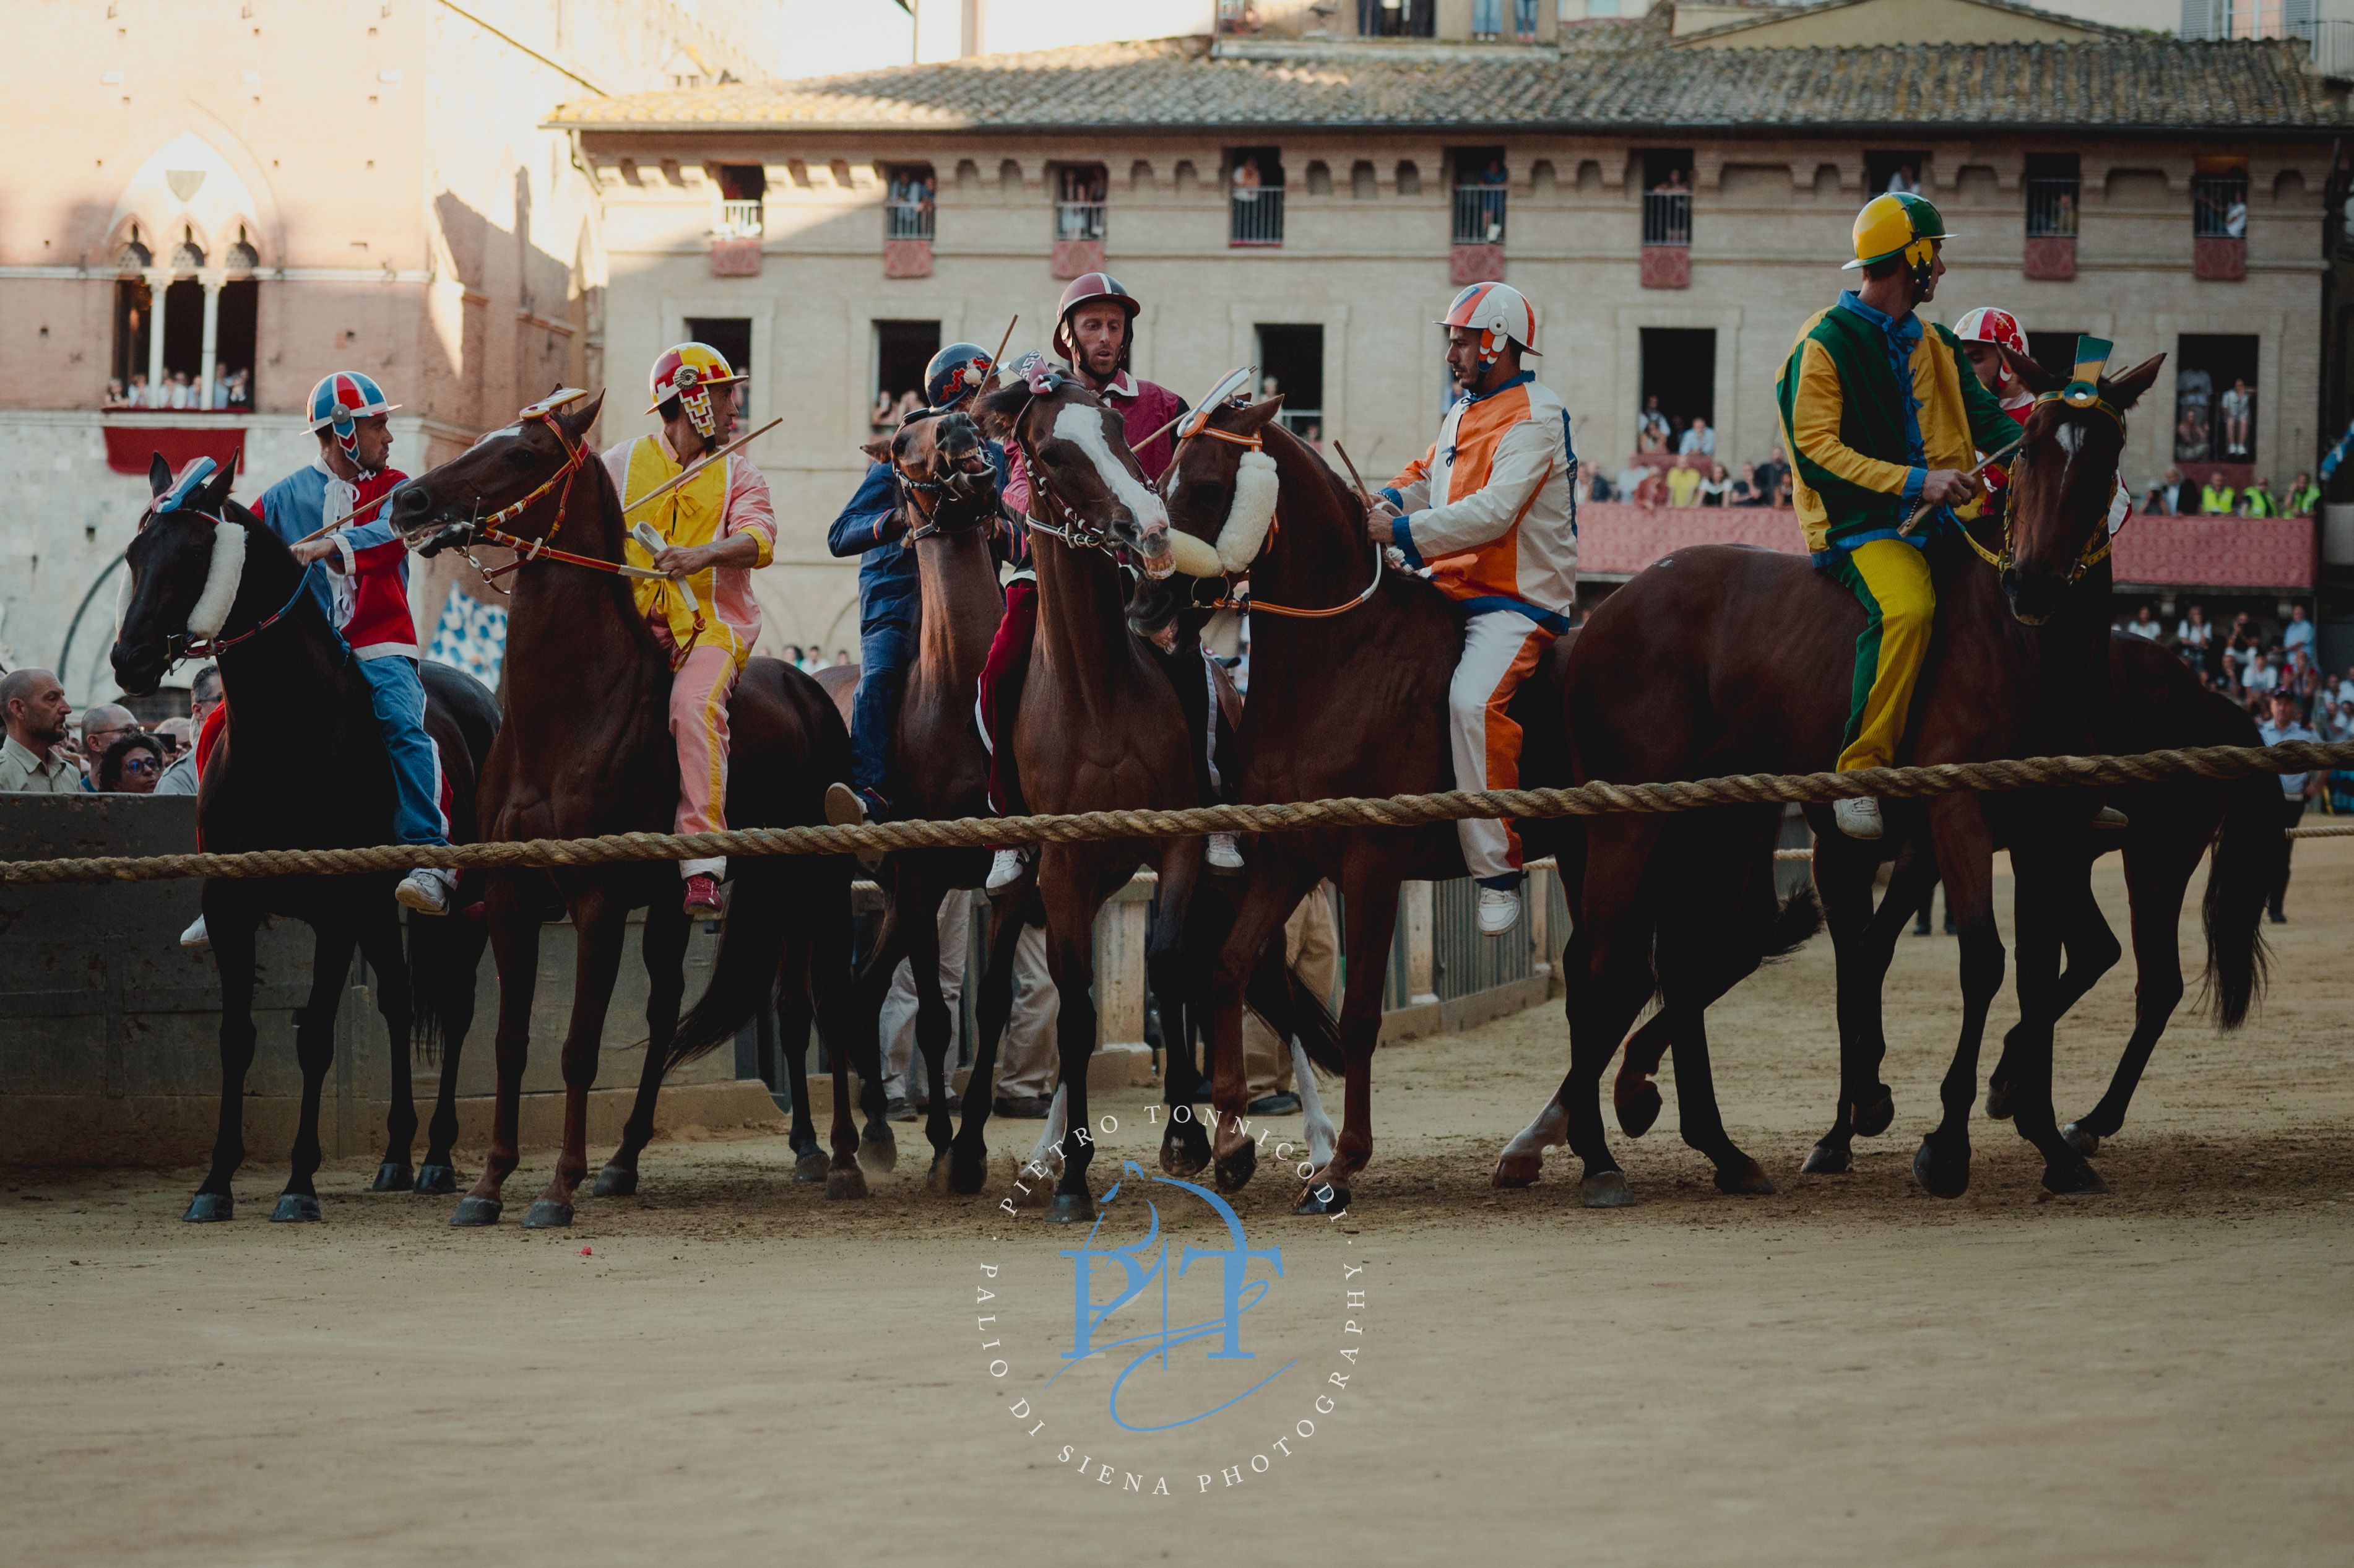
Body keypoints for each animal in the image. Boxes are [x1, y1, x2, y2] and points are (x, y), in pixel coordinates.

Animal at [112, 452, 499, 1224]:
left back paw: (438, 1156)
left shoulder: (334, 911)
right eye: (138, 552)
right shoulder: (234, 906)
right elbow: (236, 1038)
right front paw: (215, 1182)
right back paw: (396, 1155)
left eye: (192, 554)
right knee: (399, 1001)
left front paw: (298, 1182)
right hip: (380, 910)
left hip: (462, 907)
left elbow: (317, 1036)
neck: (285, 733)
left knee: (459, 1009)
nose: (128, 659)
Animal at [386, 391, 875, 1224]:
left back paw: (841, 1158)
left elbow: (579, 1044)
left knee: (831, 1000)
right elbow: (511, 1042)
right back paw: (625, 1160)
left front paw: (557, 1187)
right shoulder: (512, 894)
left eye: (522, 453)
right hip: (696, 901)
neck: (567, 712)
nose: (409, 501)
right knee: (672, 1005)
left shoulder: (599, 897)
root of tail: (809, 687)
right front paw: (489, 1183)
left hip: (815, 882)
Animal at [1497, 341, 2156, 1196]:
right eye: (2031, 450)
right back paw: (1600, 1145)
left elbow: (2031, 971)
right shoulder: (1955, 812)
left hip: (1722, 820)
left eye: (2102, 454)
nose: (2032, 583)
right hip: (1629, 820)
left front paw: (2046, 1137)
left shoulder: (2051, 825)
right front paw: (1943, 1142)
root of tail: (1601, 613)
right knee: (1604, 961)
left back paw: (1695, 1133)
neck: (2019, 650)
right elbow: (1979, 957)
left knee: (1685, 957)